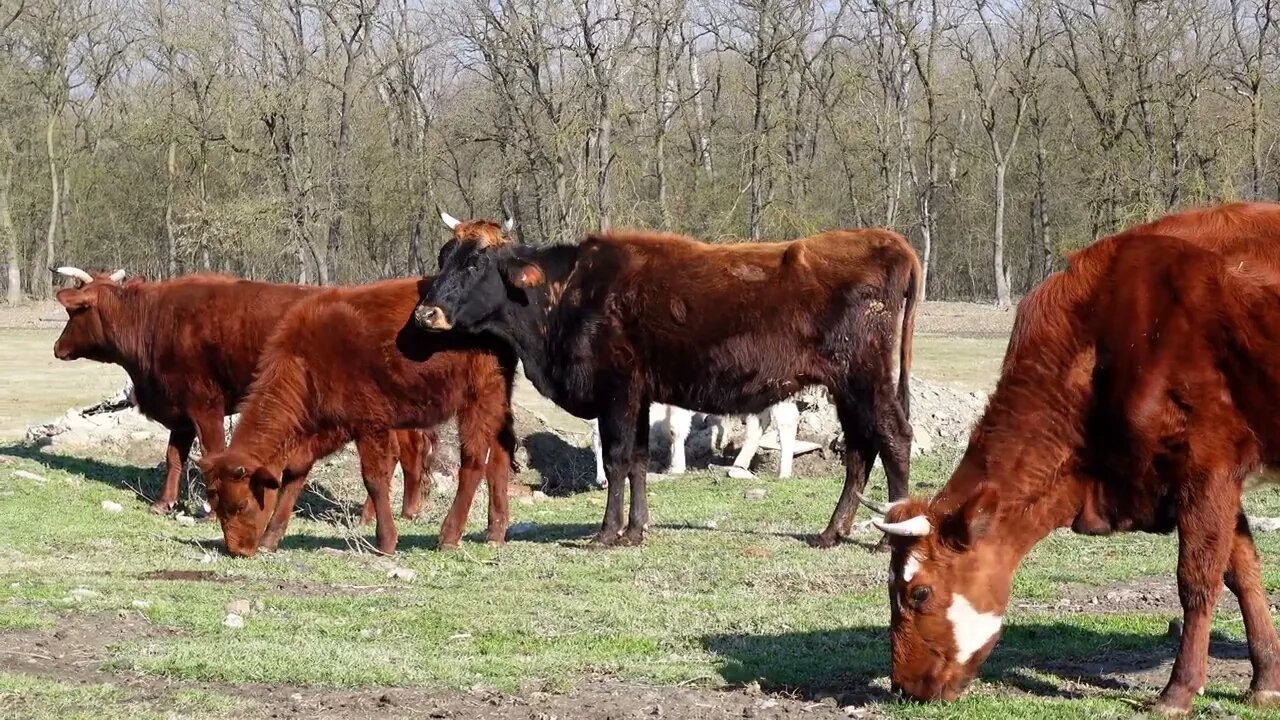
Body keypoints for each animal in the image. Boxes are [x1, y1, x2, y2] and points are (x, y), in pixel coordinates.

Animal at [51, 265, 435, 527]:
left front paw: (209, 511)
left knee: (392, 457)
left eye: (73, 311)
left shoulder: (206, 406)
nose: (57, 348)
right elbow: (174, 457)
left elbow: (211, 453)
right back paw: (403, 510)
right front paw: (163, 503)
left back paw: (371, 516)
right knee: (408, 453)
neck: (154, 323)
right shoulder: (181, 411)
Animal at [194, 274, 514, 556]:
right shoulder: (323, 430)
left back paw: (449, 536)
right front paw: (270, 539)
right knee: (499, 459)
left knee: (473, 462)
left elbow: (374, 479)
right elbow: (294, 475)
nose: (237, 550)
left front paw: (385, 542)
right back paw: (495, 532)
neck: (305, 361)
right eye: (216, 504)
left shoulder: (369, 425)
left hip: (480, 398)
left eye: (241, 505)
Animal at [417, 211, 921, 543]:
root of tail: (887, 241)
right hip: (847, 388)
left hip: (865, 379)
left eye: (477, 263)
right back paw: (832, 531)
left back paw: (888, 536)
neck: (569, 294)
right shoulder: (639, 397)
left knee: (894, 438)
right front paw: (636, 530)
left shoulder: (617, 392)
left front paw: (607, 533)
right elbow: (639, 460)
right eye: (443, 256)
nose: (426, 313)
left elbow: (618, 460)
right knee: (860, 451)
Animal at [875, 198, 1280, 707]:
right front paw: (1265, 681)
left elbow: (1197, 581)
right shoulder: (1213, 481)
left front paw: (1179, 690)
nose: (903, 687)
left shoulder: (1208, 468)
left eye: (920, 593)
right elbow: (1242, 573)